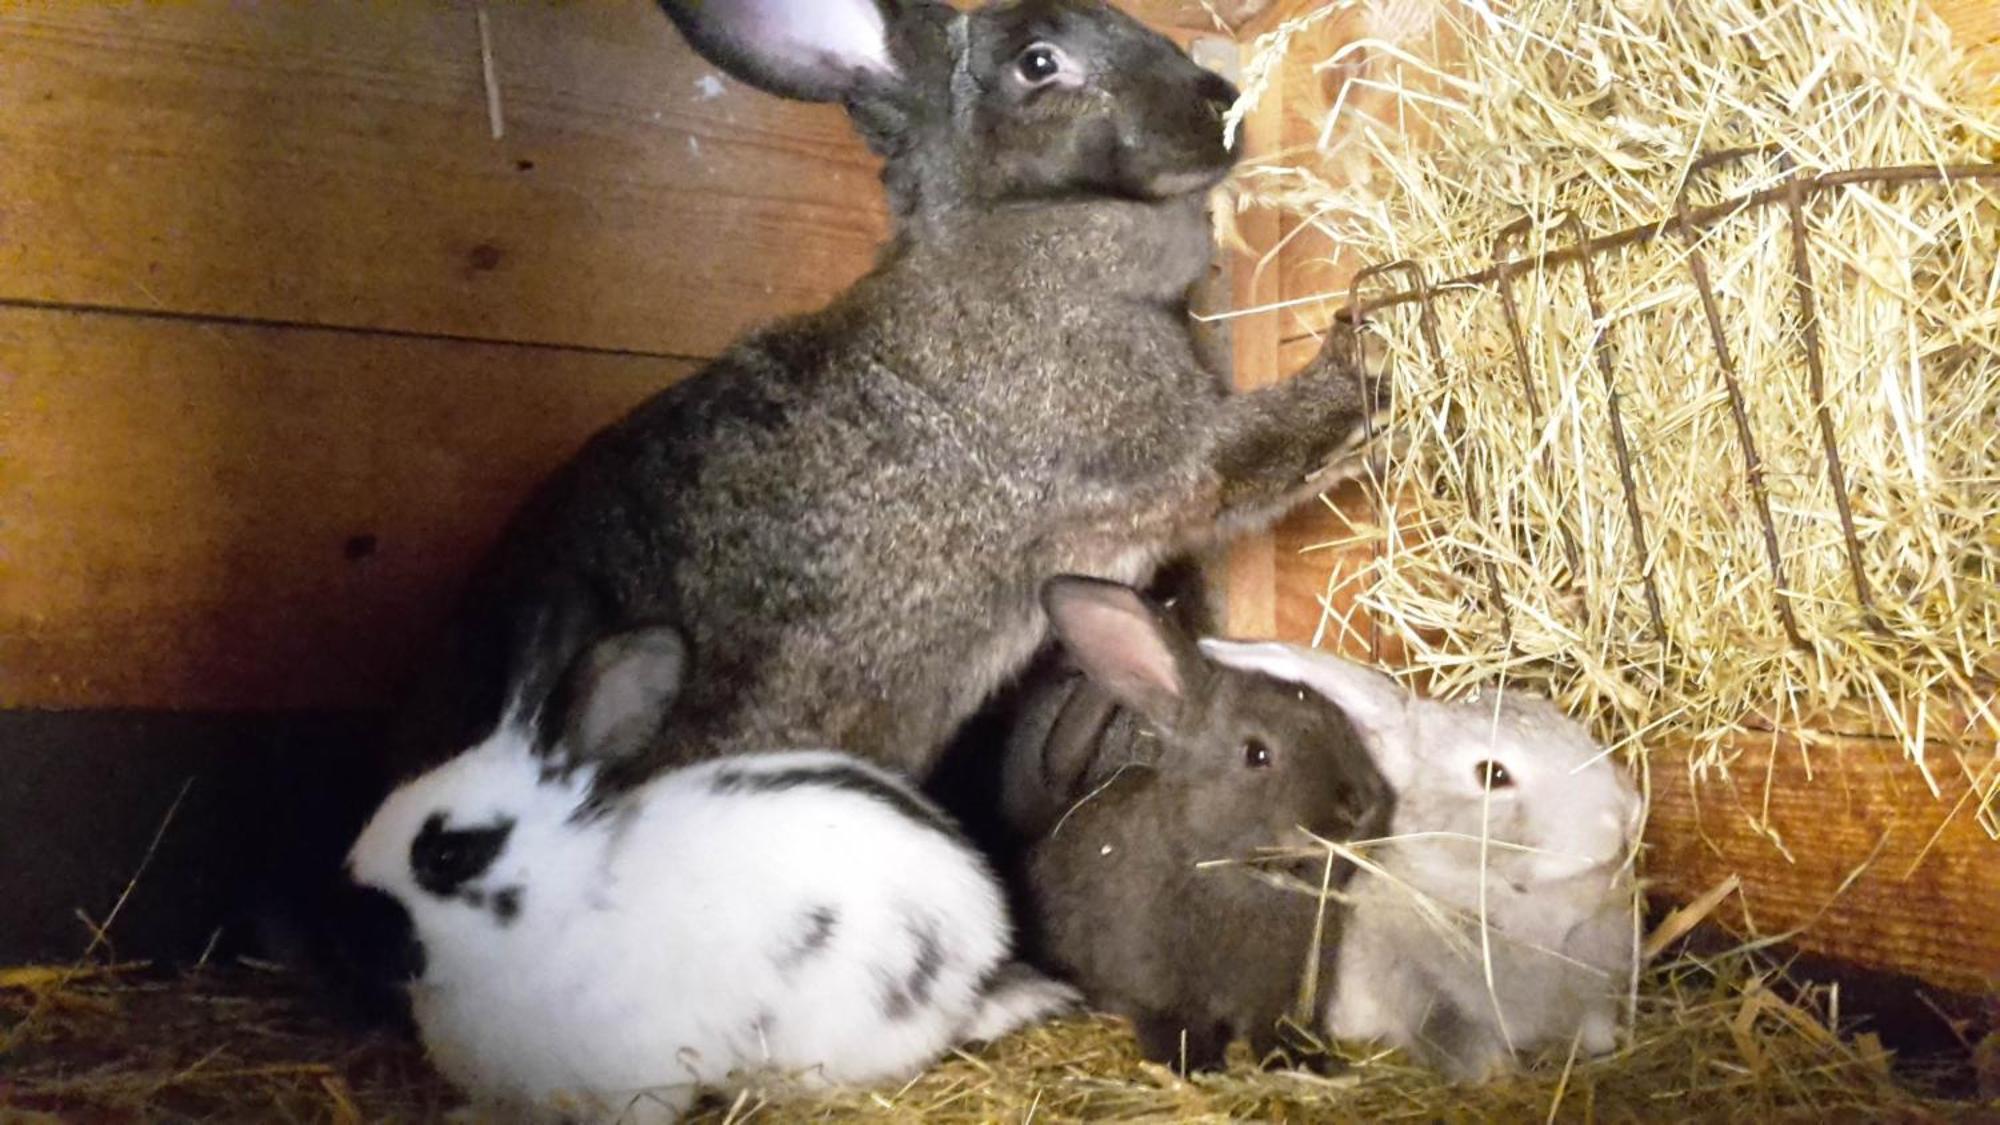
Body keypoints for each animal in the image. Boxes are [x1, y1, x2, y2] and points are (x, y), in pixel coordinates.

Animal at [390, 0, 1392, 788]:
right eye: (1039, 63)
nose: (1220, 105)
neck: (1019, 229)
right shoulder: (1151, 457)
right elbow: (1258, 447)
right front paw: (1369, 355)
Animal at [1016, 576, 1392, 1064]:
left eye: (1344, 727)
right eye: (1256, 754)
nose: (1359, 807)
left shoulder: (1281, 992)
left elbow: (1273, 1026)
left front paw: (1299, 1061)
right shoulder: (1155, 985)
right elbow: (1172, 1023)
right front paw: (1192, 1065)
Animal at [1200, 644, 1640, 1080]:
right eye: (1493, 775)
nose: (1624, 814)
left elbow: (1596, 1024)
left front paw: (1603, 1046)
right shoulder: (1432, 999)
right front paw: (1496, 1075)